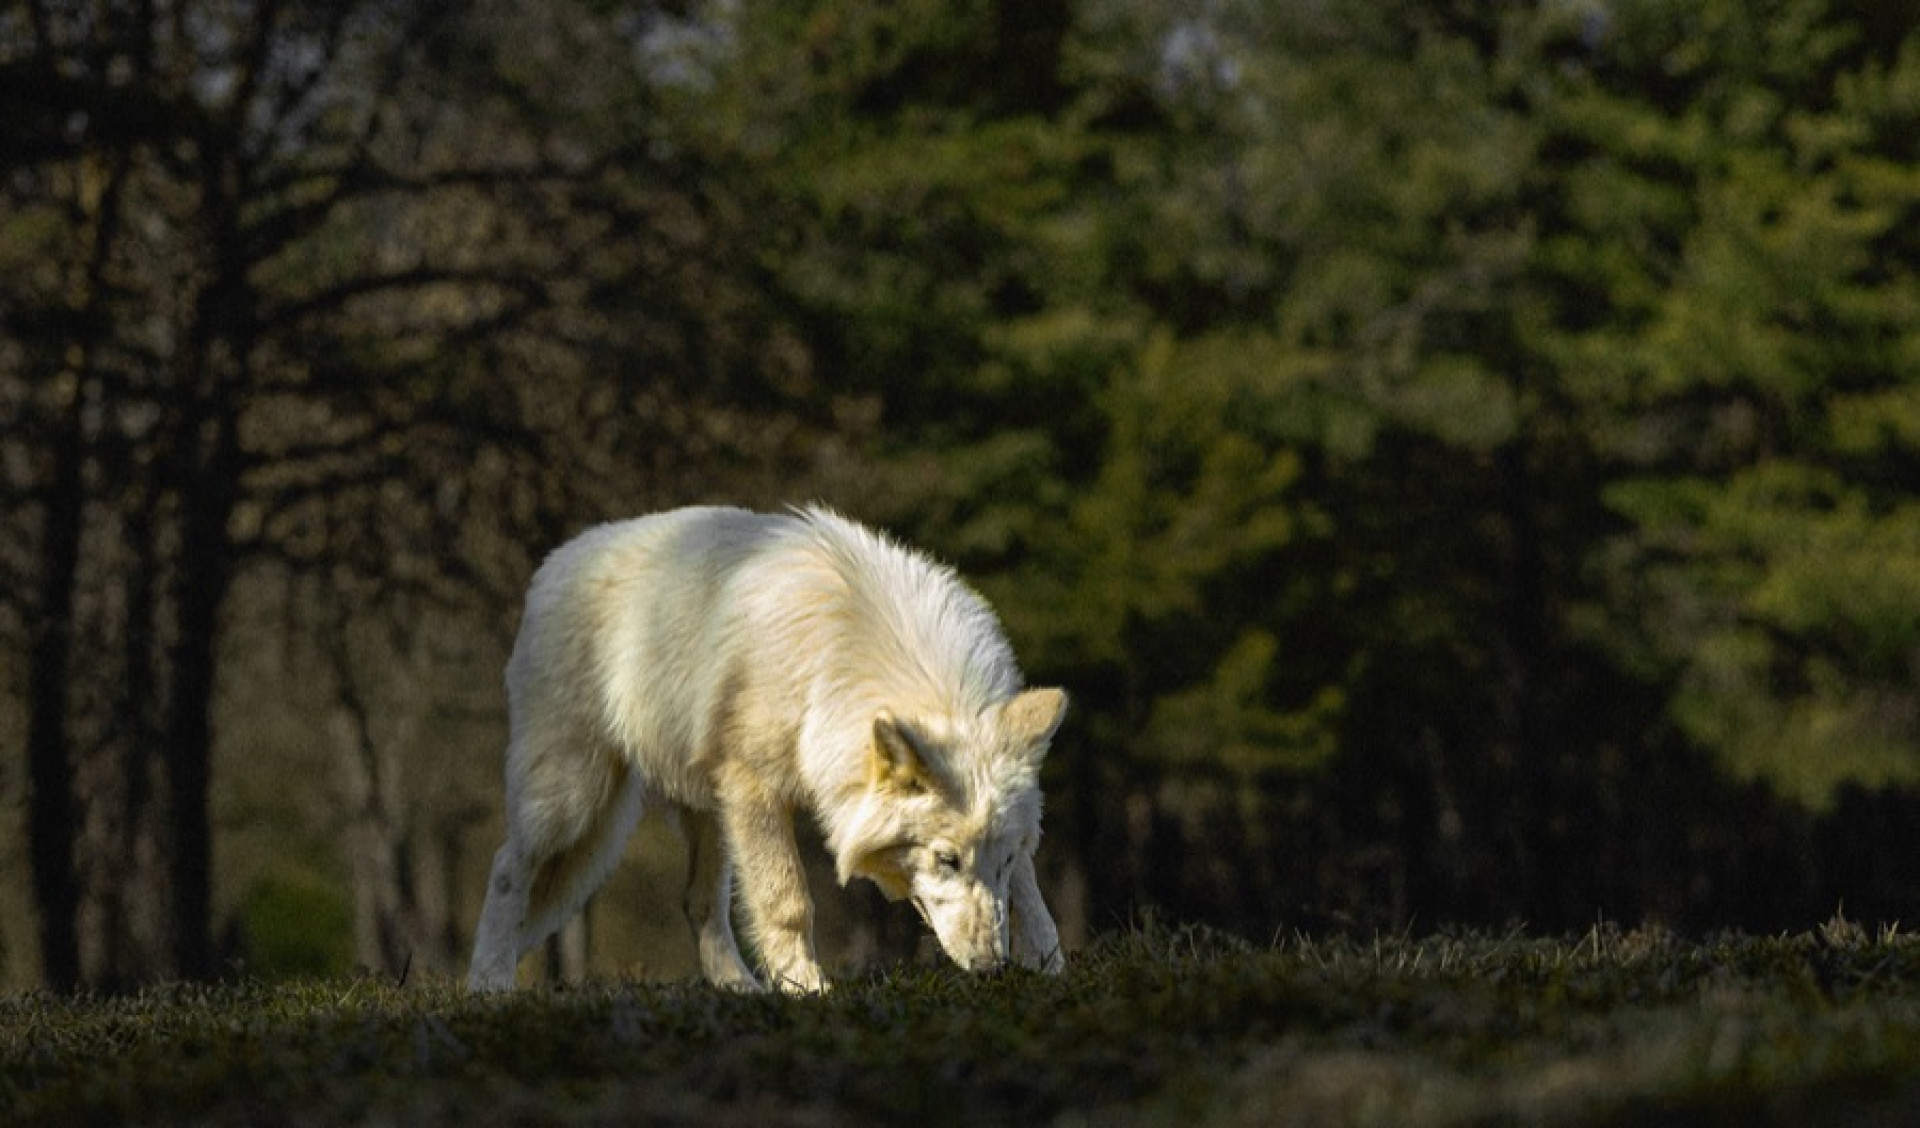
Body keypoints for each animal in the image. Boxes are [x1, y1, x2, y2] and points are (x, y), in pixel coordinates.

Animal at [467, 505, 1068, 992]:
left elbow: (1030, 895)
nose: (991, 967)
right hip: (574, 801)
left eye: (1003, 857)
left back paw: (739, 988)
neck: (838, 664)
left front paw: (1048, 964)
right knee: (506, 867)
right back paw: (489, 982)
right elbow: (787, 901)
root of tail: (558, 559)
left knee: (697, 902)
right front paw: (806, 989)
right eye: (947, 859)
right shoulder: (754, 786)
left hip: (707, 816)